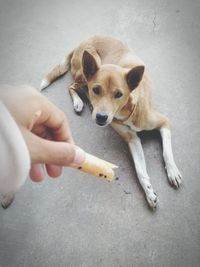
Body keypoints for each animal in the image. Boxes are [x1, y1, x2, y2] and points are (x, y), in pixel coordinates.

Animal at [39, 35, 182, 209]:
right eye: (97, 90)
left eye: (119, 94)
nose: (101, 117)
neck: (127, 111)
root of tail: (82, 42)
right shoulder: (131, 139)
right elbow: (140, 170)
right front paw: (149, 191)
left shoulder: (164, 123)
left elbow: (166, 153)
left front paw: (170, 173)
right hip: (86, 71)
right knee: (71, 85)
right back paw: (79, 102)